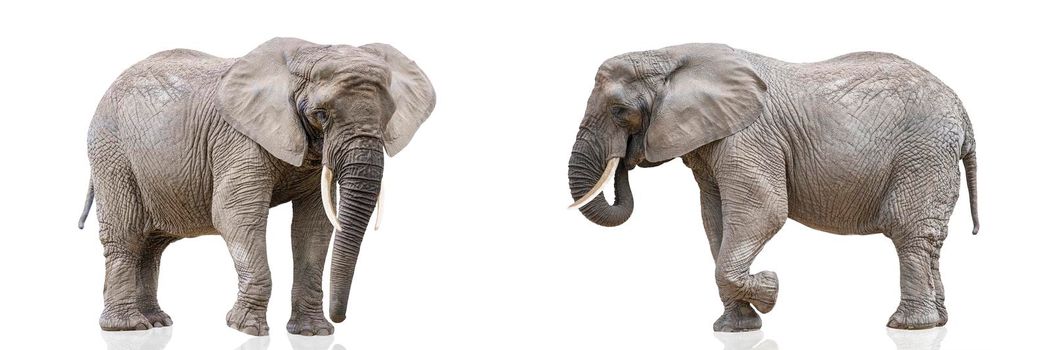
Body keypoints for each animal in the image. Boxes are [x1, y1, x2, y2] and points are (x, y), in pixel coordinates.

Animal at [76, 35, 433, 336]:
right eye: (321, 114)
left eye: (389, 115)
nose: (340, 318)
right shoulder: (237, 139)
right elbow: (235, 214)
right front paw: (247, 330)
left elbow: (314, 225)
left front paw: (313, 333)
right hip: (112, 151)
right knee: (126, 235)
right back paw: (128, 327)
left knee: (151, 245)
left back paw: (158, 322)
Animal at [567, 42, 975, 330]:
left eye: (620, 111)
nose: (626, 158)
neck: (669, 55)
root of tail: (962, 111)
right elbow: (716, 221)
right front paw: (735, 328)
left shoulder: (749, 137)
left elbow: (764, 211)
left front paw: (771, 288)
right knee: (929, 239)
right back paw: (939, 322)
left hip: (923, 154)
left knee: (908, 231)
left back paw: (910, 327)